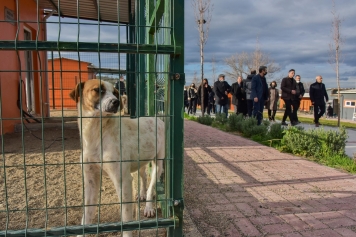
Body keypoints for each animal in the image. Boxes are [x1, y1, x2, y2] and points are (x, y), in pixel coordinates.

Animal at [70, 79, 166, 237]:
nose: (116, 102)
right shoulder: (91, 180)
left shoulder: (123, 180)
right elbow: (86, 215)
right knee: (143, 177)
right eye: (98, 89)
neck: (97, 132)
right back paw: (141, 194)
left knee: (152, 185)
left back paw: (148, 207)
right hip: (139, 163)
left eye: (115, 92)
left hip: (158, 163)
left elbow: (126, 219)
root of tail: (155, 118)